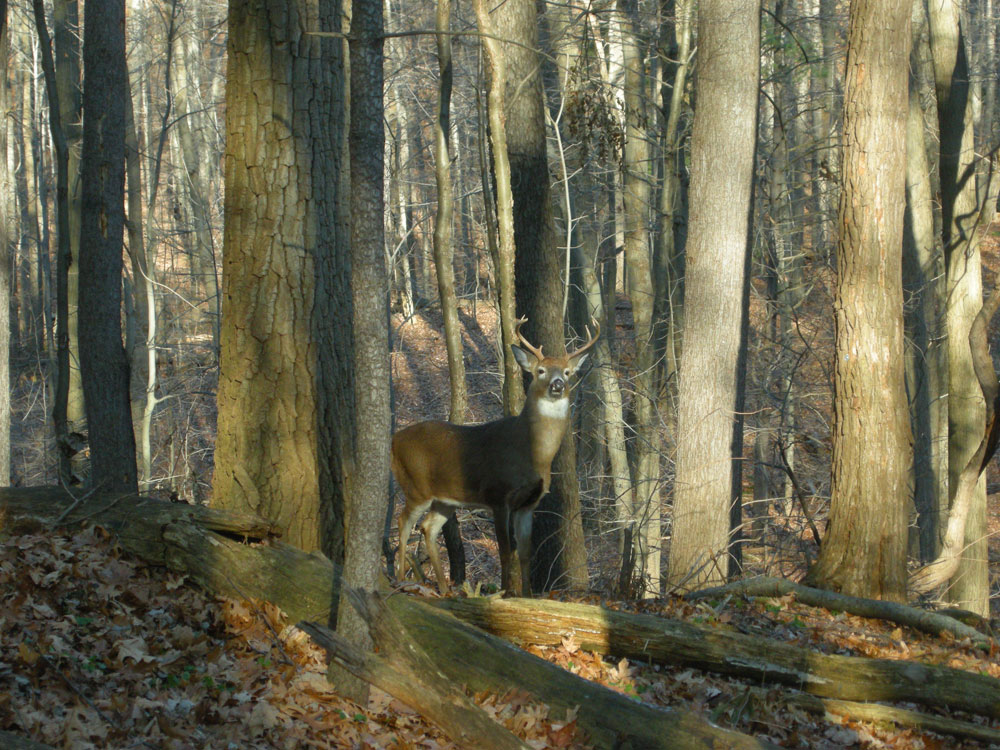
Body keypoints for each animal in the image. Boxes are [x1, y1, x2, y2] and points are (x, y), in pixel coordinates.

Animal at [390, 318, 596, 600]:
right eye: (541, 370)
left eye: (567, 372)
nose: (557, 385)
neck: (531, 452)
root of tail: (393, 441)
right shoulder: (498, 495)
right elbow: (505, 551)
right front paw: (505, 593)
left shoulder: (528, 503)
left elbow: (525, 552)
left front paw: (526, 596)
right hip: (415, 486)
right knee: (403, 522)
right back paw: (402, 581)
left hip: (445, 499)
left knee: (428, 527)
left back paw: (443, 589)